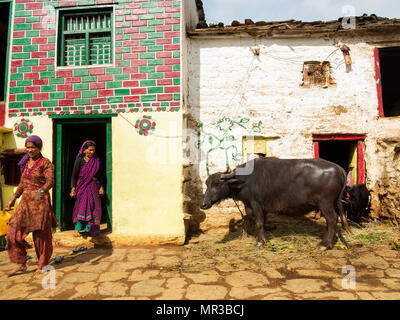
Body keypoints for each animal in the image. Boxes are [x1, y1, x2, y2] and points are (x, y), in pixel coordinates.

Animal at [200, 158, 350, 250]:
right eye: (207, 183)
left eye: (216, 183)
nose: (203, 204)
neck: (245, 180)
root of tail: (339, 169)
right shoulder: (252, 205)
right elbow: (252, 220)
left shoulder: (256, 204)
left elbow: (259, 222)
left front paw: (260, 241)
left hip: (326, 204)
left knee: (332, 219)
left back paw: (325, 244)